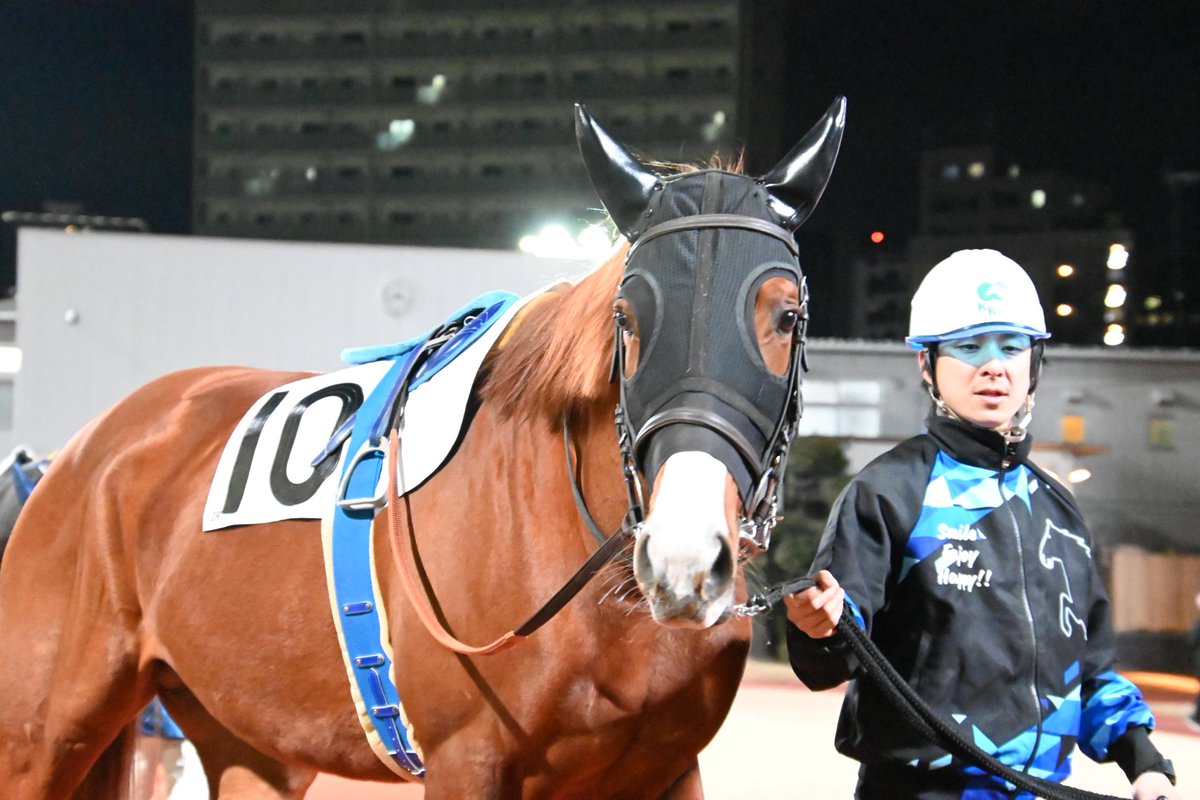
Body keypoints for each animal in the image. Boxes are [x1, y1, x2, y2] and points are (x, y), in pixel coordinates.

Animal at [0, 98, 845, 799]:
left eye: (786, 315)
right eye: (627, 320)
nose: (683, 559)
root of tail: (90, 449)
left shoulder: (664, 772)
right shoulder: (469, 761)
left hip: (245, 735)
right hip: (42, 730)